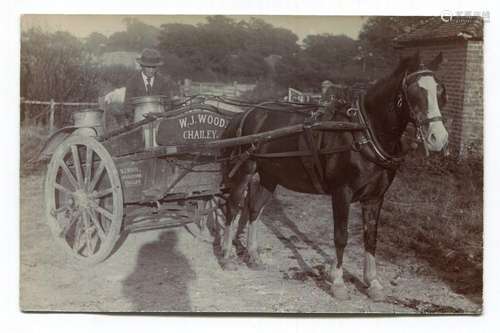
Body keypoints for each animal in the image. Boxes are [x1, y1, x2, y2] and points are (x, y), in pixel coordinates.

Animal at [219, 50, 450, 300]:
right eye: (415, 91)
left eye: (440, 91)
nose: (439, 138)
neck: (363, 132)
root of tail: (247, 113)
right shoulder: (342, 193)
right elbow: (341, 236)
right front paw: (338, 282)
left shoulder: (375, 197)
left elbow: (371, 237)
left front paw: (373, 283)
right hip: (245, 169)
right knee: (233, 207)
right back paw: (227, 256)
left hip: (270, 176)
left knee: (254, 210)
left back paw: (253, 256)